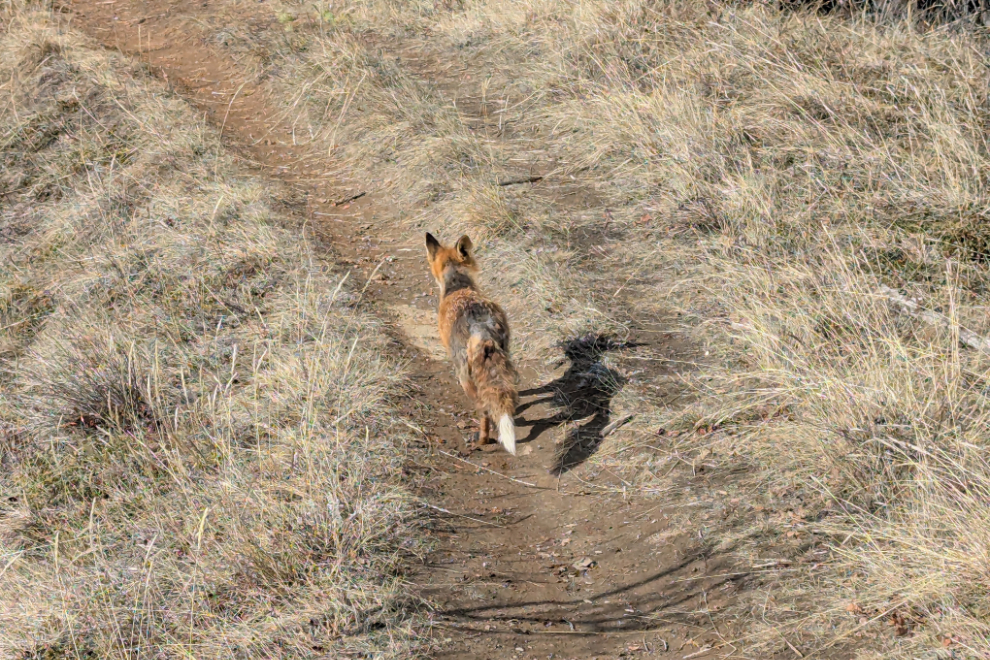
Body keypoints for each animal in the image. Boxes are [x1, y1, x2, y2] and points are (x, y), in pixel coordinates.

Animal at [425, 232, 519, 455]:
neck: (458, 286)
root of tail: (480, 326)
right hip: (506, 355)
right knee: (508, 394)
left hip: (464, 376)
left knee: (484, 410)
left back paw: (482, 440)